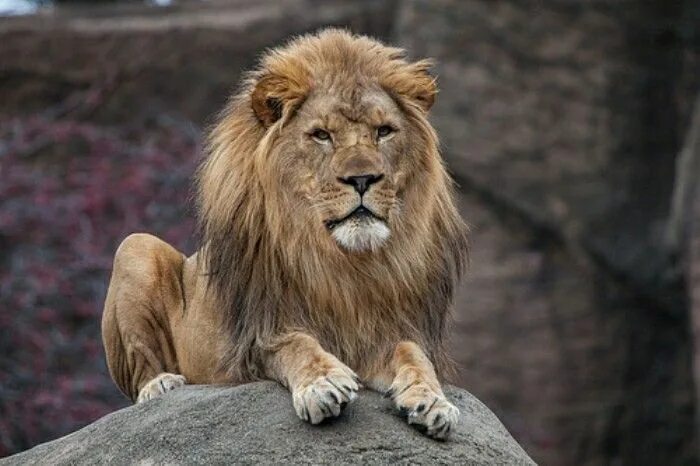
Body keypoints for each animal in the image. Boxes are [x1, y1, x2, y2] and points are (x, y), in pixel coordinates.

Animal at [101, 28, 468, 439]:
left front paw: (432, 400)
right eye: (321, 135)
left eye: (384, 131)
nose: (362, 179)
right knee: (139, 378)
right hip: (135, 247)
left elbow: (413, 354)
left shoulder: (384, 332)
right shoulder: (257, 338)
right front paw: (323, 384)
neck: (346, 263)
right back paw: (162, 384)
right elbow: (295, 343)